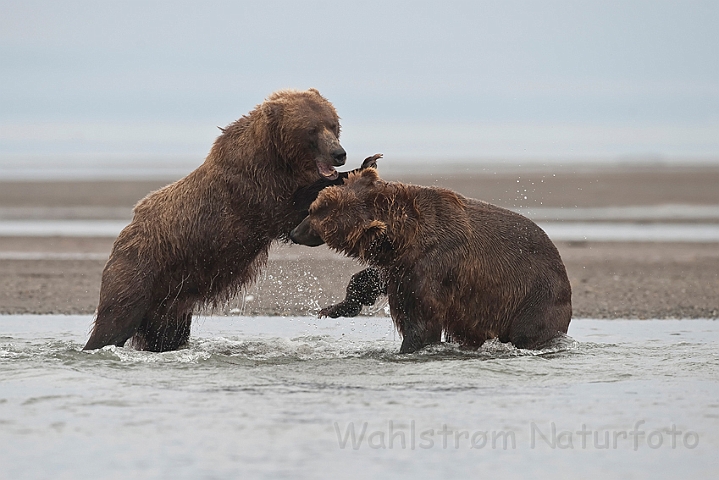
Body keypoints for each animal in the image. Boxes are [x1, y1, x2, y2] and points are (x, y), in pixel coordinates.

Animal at [83, 89, 382, 352]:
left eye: (333, 124)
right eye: (312, 129)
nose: (339, 153)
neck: (278, 158)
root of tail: (125, 234)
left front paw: (366, 164)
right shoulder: (254, 189)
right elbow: (293, 207)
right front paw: (361, 166)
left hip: (171, 301)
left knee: (166, 335)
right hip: (139, 271)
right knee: (115, 320)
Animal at [290, 169, 572, 352]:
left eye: (321, 223)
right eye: (313, 209)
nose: (294, 233)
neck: (406, 236)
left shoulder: (433, 267)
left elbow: (422, 322)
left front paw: (408, 349)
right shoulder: (401, 265)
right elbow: (372, 279)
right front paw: (333, 308)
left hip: (534, 298)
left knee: (530, 330)